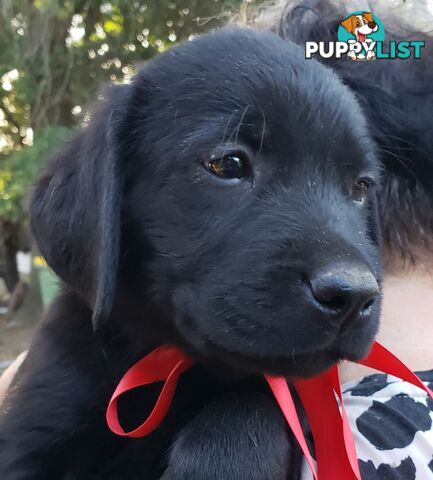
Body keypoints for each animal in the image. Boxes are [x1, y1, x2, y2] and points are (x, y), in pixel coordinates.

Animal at [0, 29, 380, 480]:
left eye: (360, 188)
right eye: (228, 163)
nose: (354, 295)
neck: (169, 365)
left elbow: (256, 402)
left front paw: (224, 457)